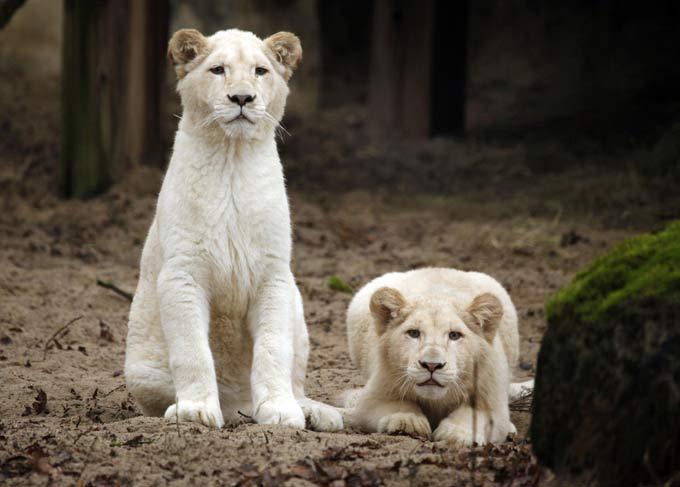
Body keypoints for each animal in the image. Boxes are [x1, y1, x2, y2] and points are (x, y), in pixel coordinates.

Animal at [124, 28, 342, 431]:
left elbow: (273, 349)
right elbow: (192, 349)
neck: (232, 158)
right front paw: (195, 410)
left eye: (260, 71)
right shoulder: (182, 272)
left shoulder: (273, 275)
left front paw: (281, 411)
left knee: (293, 381)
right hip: (142, 370)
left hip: (297, 305)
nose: (242, 98)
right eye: (218, 70)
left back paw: (314, 411)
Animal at [342, 268, 530, 445]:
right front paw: (407, 422)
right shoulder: (373, 399)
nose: (431, 365)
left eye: (454, 335)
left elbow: (472, 415)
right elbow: (396, 405)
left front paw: (456, 434)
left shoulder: (492, 404)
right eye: (413, 333)